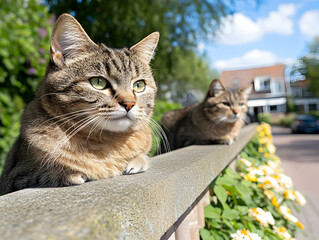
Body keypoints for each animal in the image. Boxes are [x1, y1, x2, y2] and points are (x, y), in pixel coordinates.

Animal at [0, 13, 160, 195]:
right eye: (98, 82)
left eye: (139, 85)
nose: (129, 103)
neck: (107, 143)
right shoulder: (16, 177)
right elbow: (48, 173)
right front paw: (69, 173)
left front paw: (138, 160)